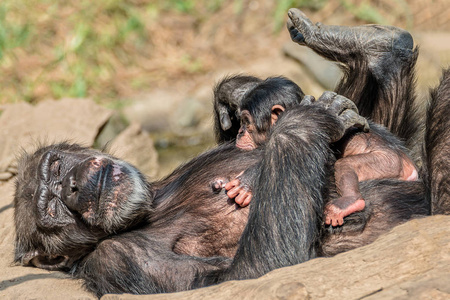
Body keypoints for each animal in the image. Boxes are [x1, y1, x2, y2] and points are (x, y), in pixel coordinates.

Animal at [13, 8, 446, 296]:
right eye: (51, 209)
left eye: (58, 168)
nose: (71, 185)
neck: (154, 204)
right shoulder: (116, 261)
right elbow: (252, 273)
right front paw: (301, 120)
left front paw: (236, 94)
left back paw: (378, 45)